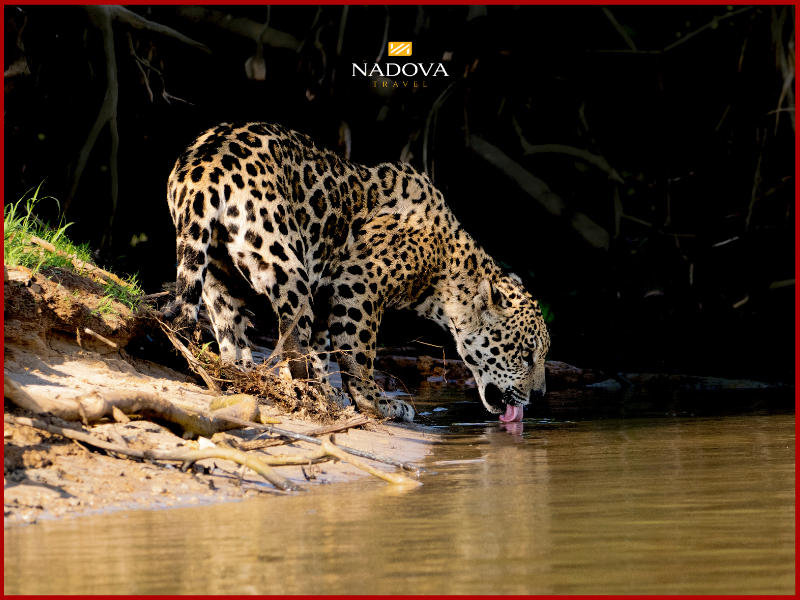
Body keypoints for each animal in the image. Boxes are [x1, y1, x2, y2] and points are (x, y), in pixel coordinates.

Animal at [163, 122, 550, 423]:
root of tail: (206, 166)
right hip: (285, 263)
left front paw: (334, 389)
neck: (446, 266)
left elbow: (322, 349)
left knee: (232, 332)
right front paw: (376, 402)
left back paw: (243, 374)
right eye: (525, 355)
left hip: (217, 271)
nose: (541, 395)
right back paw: (307, 392)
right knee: (292, 339)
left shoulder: (326, 289)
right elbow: (358, 351)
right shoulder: (360, 283)